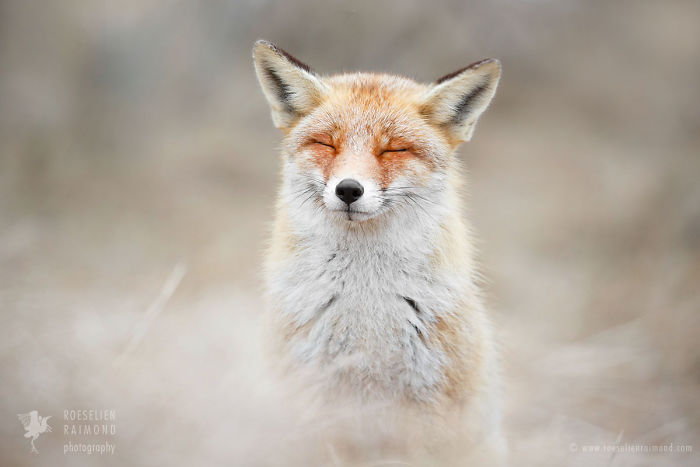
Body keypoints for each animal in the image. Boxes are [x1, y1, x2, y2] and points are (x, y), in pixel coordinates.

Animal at [253, 40, 504, 464]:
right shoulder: (311, 400)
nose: (348, 189)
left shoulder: (432, 407)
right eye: (327, 143)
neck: (366, 307)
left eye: (393, 149)